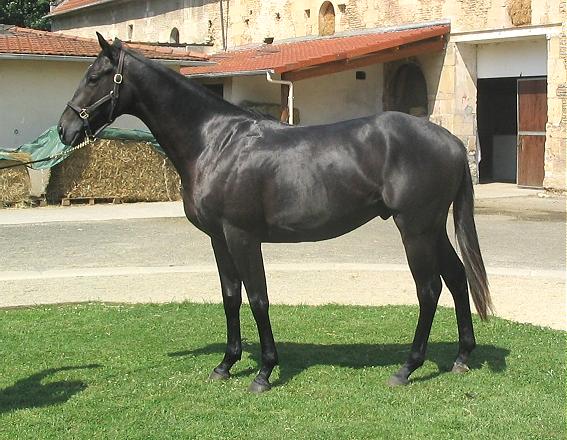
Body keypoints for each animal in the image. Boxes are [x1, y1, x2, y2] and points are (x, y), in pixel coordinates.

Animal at [58, 34, 492, 392]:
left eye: (95, 77)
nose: (64, 129)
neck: (215, 142)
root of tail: (452, 141)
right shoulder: (218, 239)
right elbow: (230, 296)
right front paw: (226, 364)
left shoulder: (242, 236)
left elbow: (258, 298)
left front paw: (265, 372)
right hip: (432, 228)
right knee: (457, 278)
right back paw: (461, 357)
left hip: (414, 229)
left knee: (429, 289)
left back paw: (407, 368)